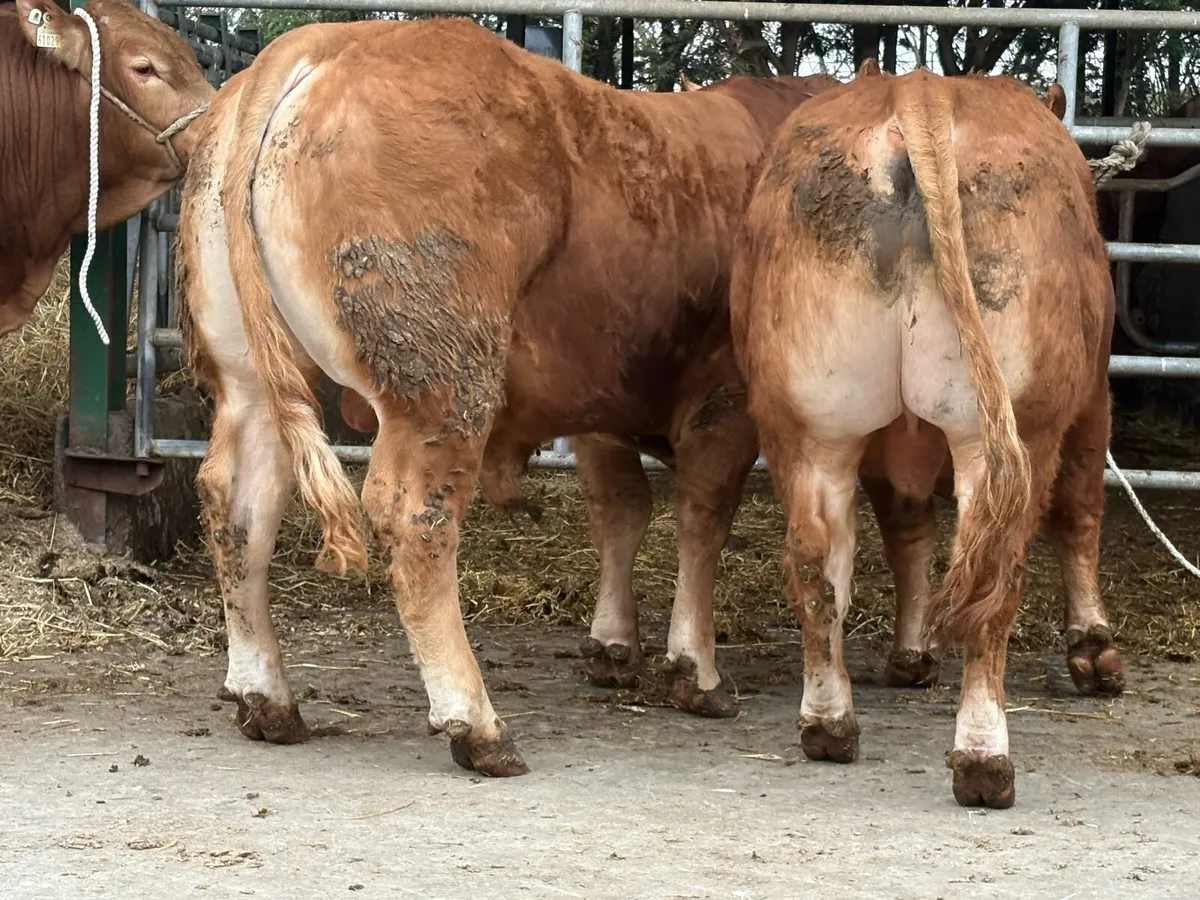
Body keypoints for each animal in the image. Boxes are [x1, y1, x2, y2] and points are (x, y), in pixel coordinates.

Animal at [176, 15, 836, 776]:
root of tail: (324, 40)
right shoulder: (725, 396)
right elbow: (702, 520)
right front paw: (696, 671)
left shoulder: (597, 402)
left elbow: (622, 511)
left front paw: (615, 646)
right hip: (443, 380)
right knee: (413, 518)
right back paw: (477, 723)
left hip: (249, 378)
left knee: (237, 504)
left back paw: (267, 698)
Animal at [731, 66, 1114, 809]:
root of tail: (919, 86)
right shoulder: (1091, 406)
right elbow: (1081, 512)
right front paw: (1095, 649)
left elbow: (906, 531)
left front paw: (911, 655)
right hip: (1013, 430)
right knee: (995, 573)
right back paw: (984, 759)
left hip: (813, 424)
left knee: (816, 563)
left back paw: (829, 725)